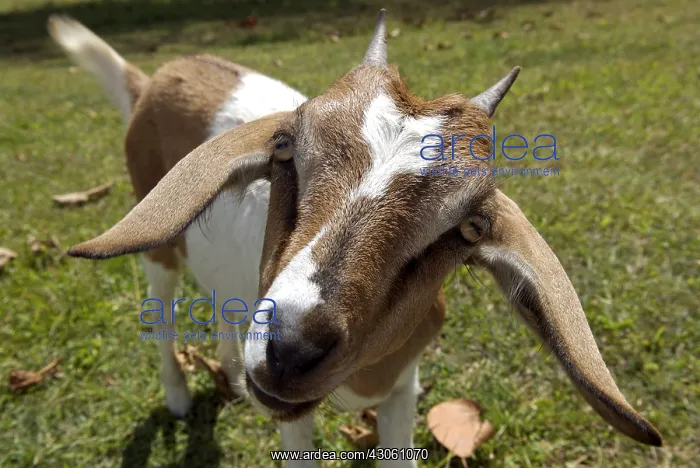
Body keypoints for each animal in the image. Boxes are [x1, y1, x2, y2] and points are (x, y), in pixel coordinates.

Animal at [49, 9, 662, 465]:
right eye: (285, 147)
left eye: (468, 227)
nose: (291, 350)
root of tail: (154, 78)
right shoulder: (292, 417)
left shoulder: (402, 393)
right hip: (159, 249)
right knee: (162, 312)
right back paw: (179, 396)